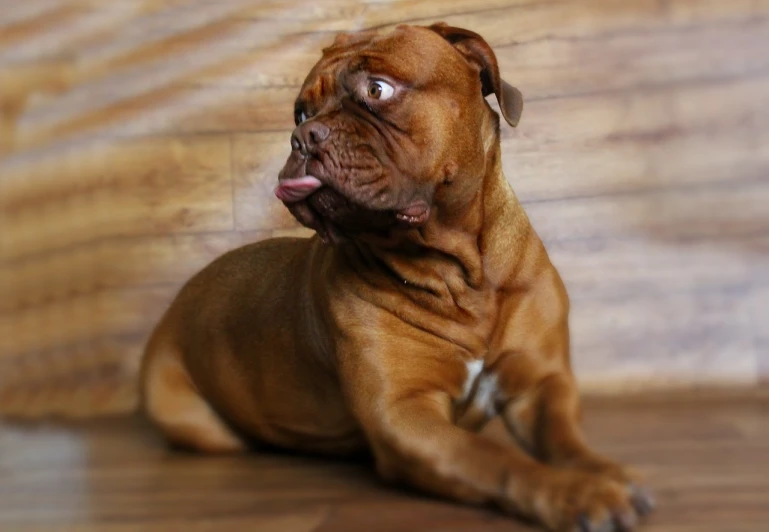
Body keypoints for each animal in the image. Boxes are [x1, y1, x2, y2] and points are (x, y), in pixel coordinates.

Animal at [140, 22, 656, 528]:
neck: (457, 271)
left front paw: (604, 472)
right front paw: (575, 493)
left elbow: (566, 441)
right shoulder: (405, 416)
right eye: (300, 111)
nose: (303, 136)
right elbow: (495, 459)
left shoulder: (540, 385)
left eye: (377, 89)